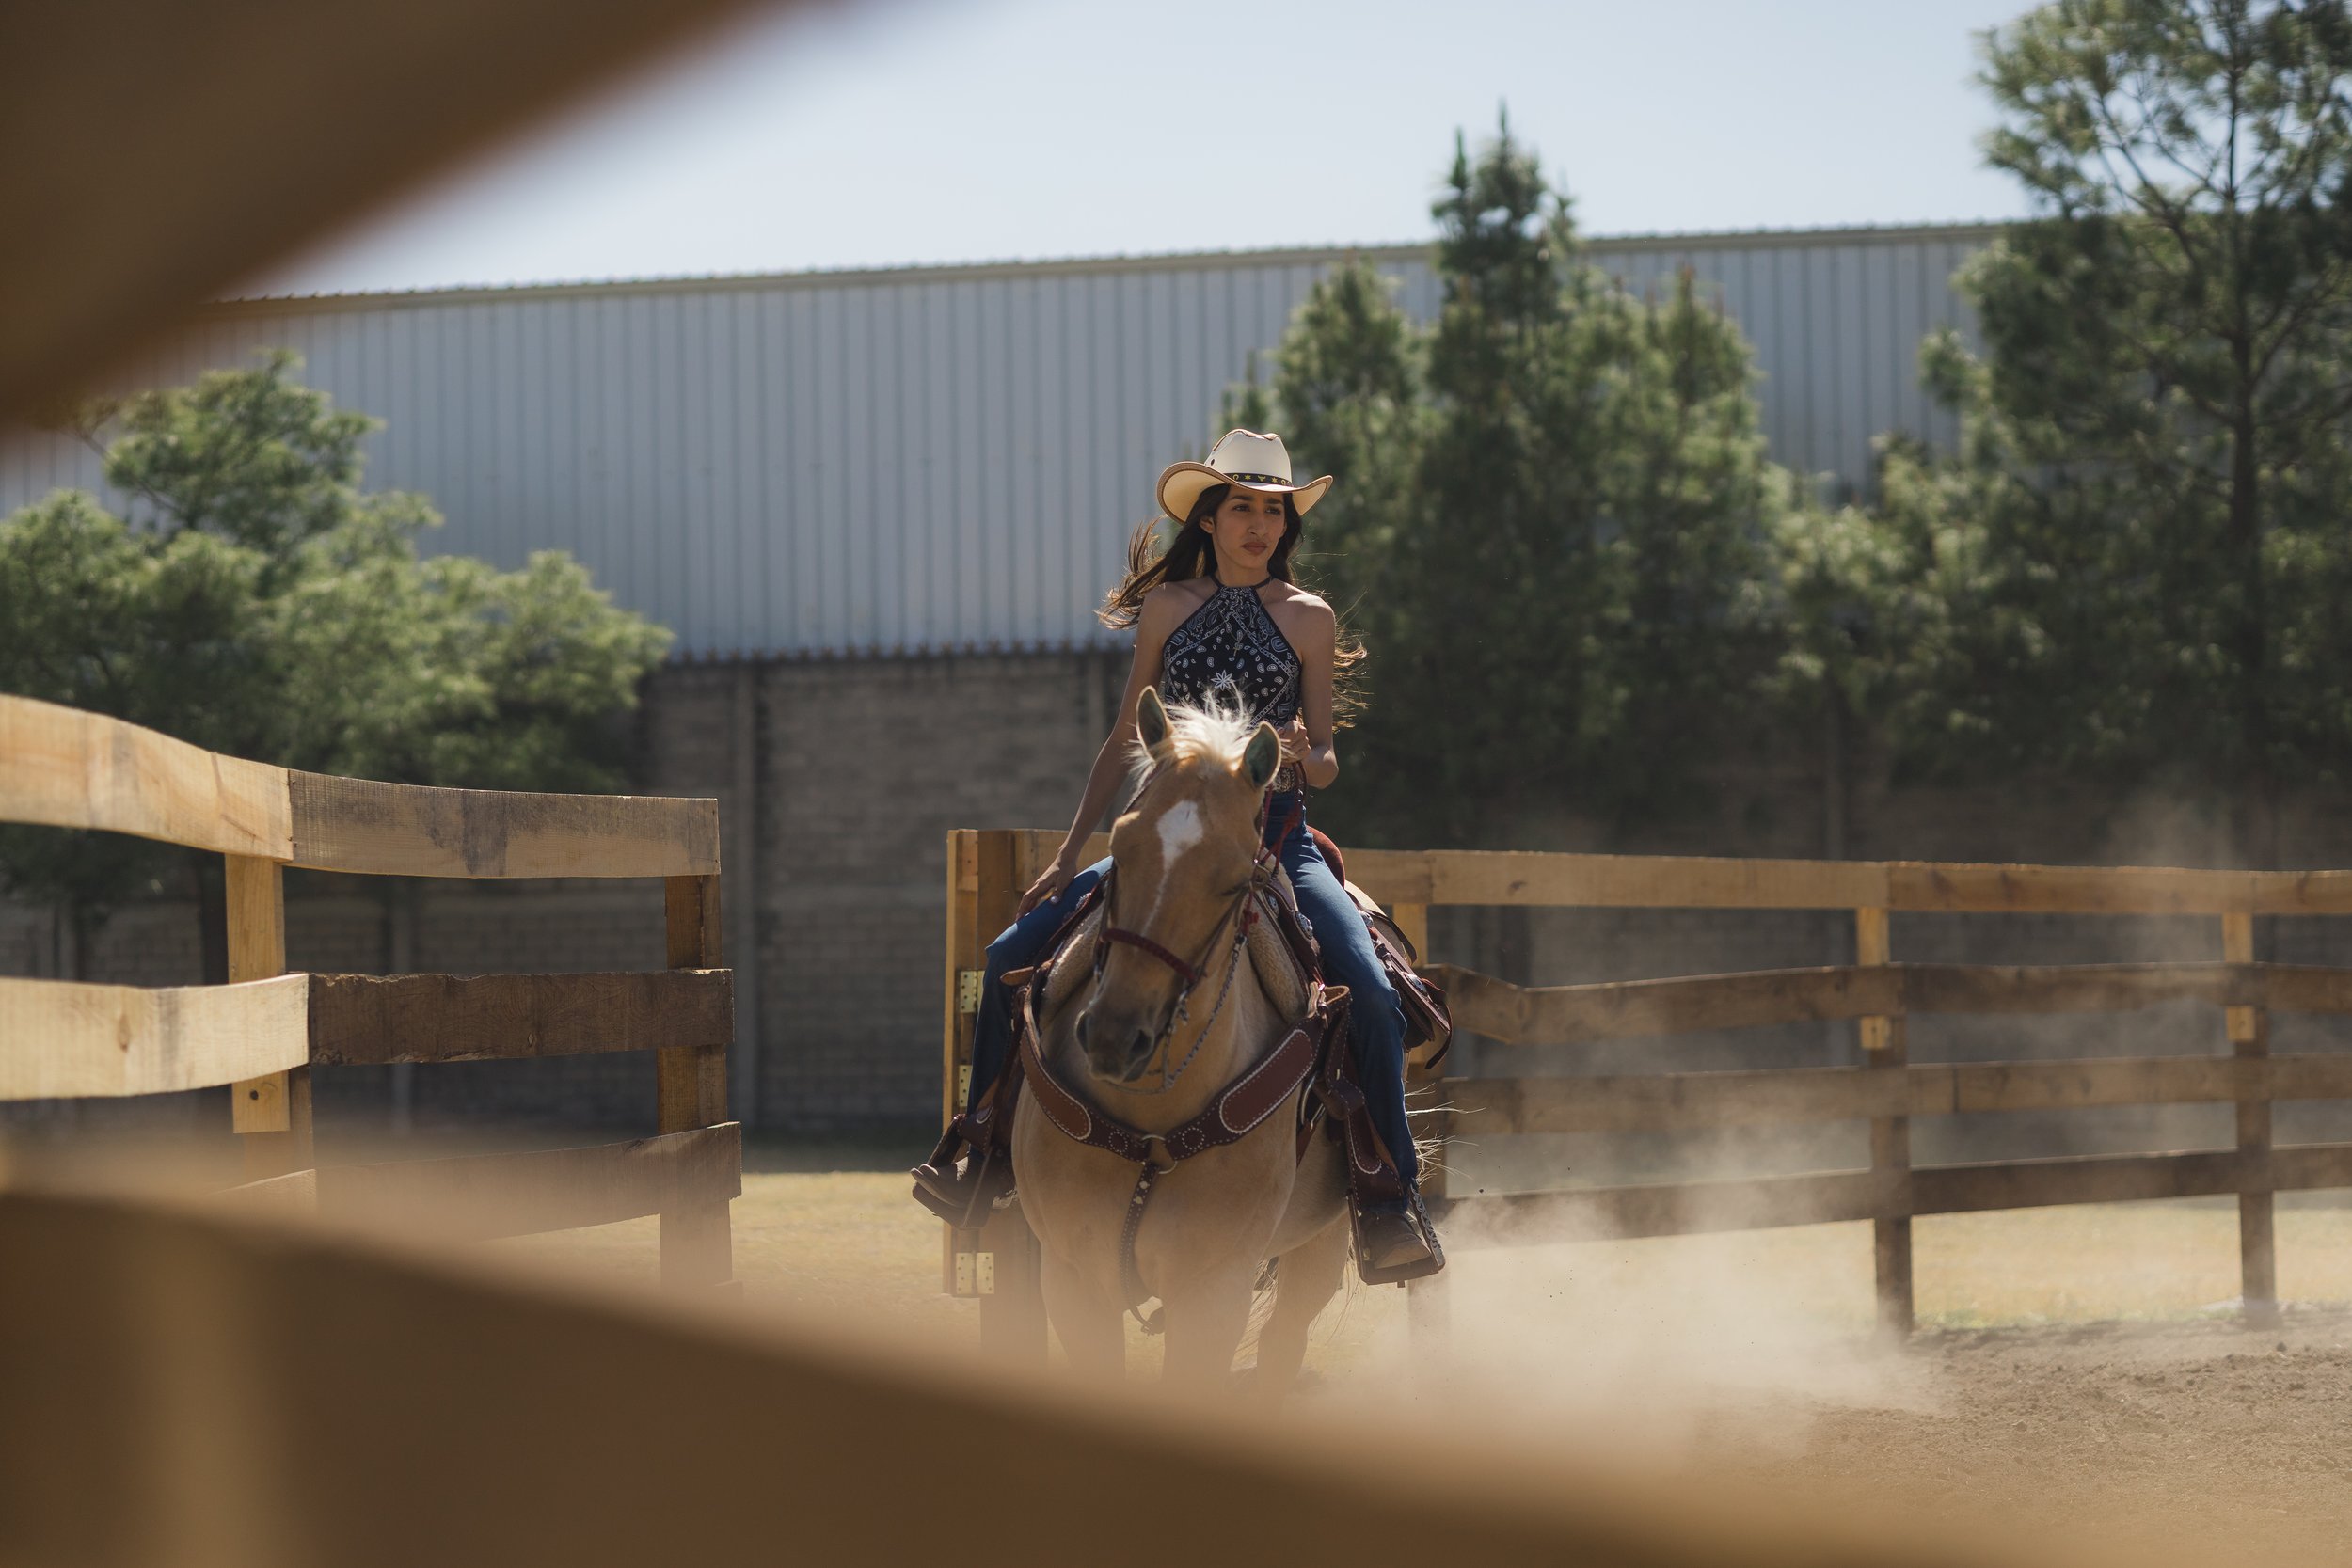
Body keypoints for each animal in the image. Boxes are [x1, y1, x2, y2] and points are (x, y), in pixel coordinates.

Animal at [1012, 688, 1352, 1392]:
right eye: (1122, 843)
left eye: (1234, 878)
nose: (1115, 1035)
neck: (1152, 1130)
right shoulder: (1071, 1279)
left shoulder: (1212, 1293)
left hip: (1319, 1249)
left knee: (1282, 1349)